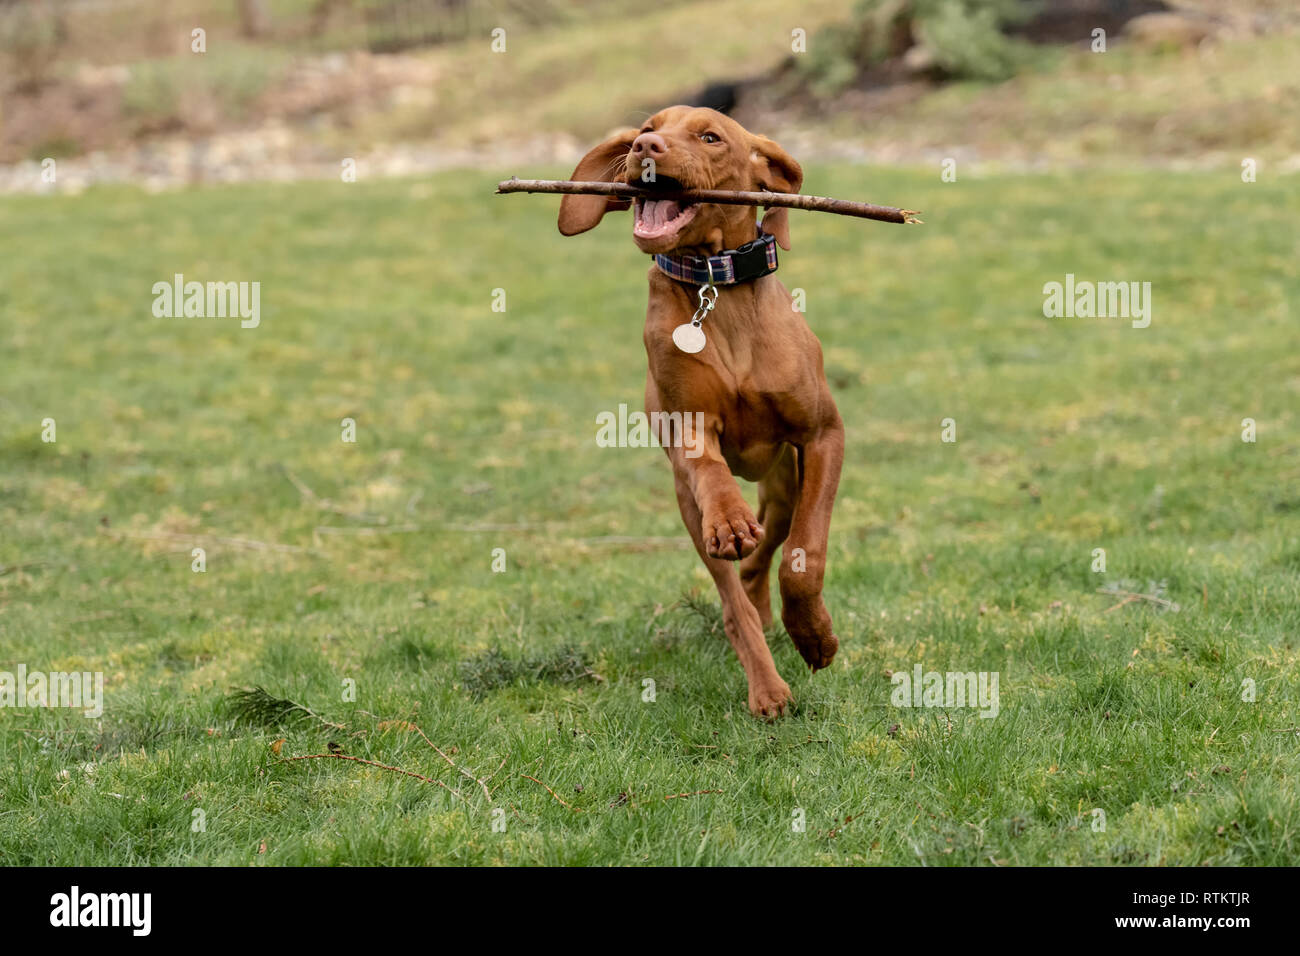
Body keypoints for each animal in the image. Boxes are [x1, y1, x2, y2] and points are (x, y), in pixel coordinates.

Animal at [556, 106, 842, 717]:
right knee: (735, 596)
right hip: (691, 508)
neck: (715, 284)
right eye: (647, 127)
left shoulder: (824, 435)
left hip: (784, 484)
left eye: (710, 136)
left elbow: (805, 555)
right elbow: (709, 470)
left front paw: (814, 636)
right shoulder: (687, 429)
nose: (644, 146)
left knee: (769, 553)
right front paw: (730, 519)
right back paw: (766, 686)